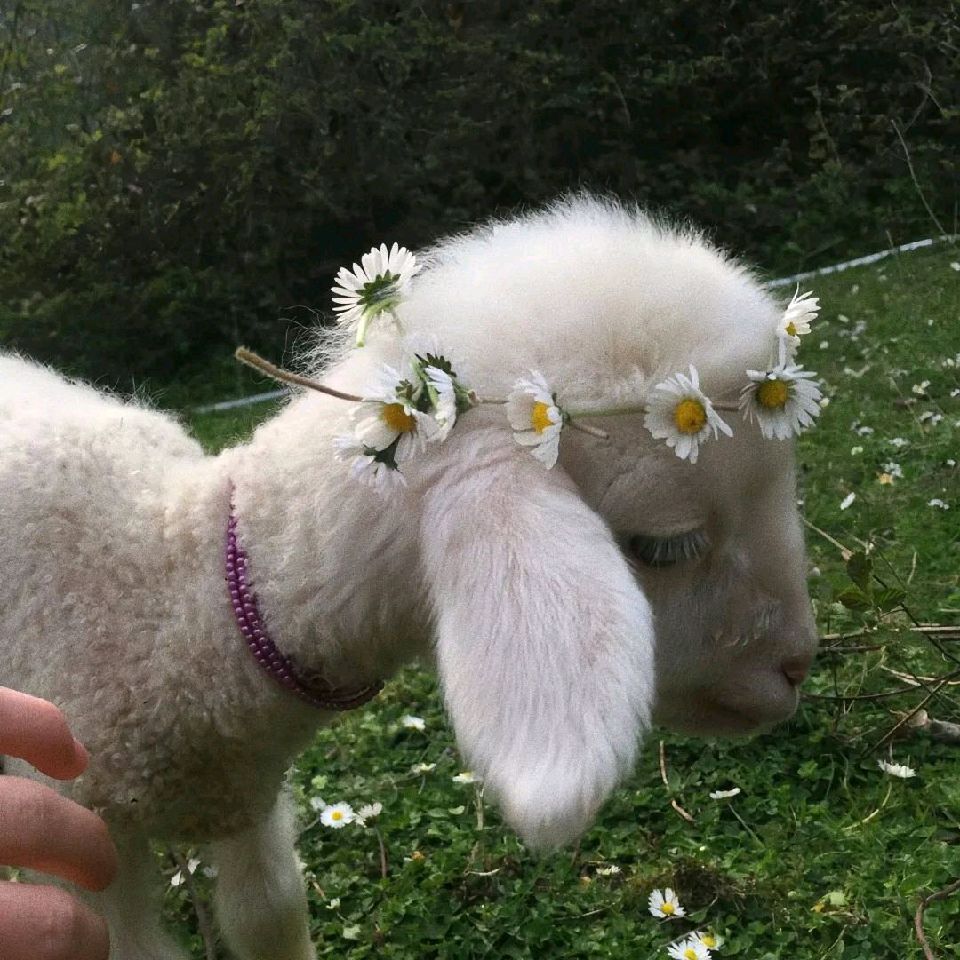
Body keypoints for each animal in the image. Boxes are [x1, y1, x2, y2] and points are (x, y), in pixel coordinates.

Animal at [0, 196, 818, 960]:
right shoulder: (82, 834)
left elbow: (268, 913)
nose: (796, 666)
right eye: (667, 545)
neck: (174, 593)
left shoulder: (248, 803)